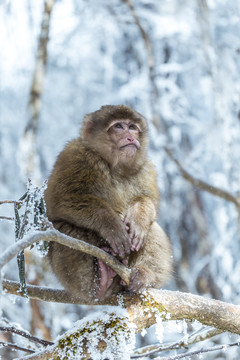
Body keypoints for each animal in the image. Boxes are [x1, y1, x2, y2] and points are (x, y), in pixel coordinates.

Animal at [44, 104, 172, 300]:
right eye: (119, 126)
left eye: (132, 127)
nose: (131, 137)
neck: (117, 167)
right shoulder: (75, 156)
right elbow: (61, 200)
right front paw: (113, 227)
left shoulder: (146, 169)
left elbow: (150, 202)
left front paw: (138, 217)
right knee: (67, 230)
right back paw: (99, 283)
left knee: (152, 229)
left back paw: (144, 274)